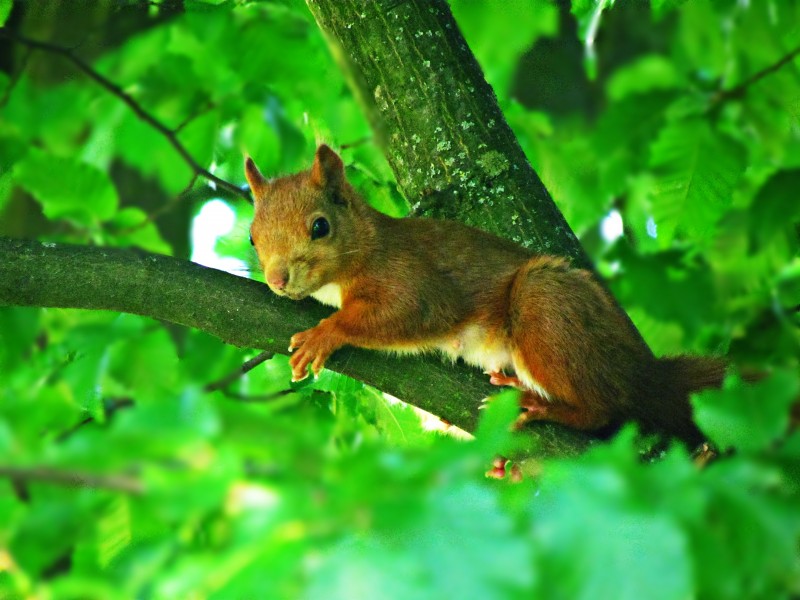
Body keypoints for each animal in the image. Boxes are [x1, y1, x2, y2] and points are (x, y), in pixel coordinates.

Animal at [244, 145, 724, 446]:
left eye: (320, 226)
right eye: (251, 238)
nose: (278, 279)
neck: (366, 244)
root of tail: (645, 371)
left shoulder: (412, 279)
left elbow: (401, 310)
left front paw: (324, 334)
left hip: (547, 310)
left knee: (602, 408)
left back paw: (542, 405)